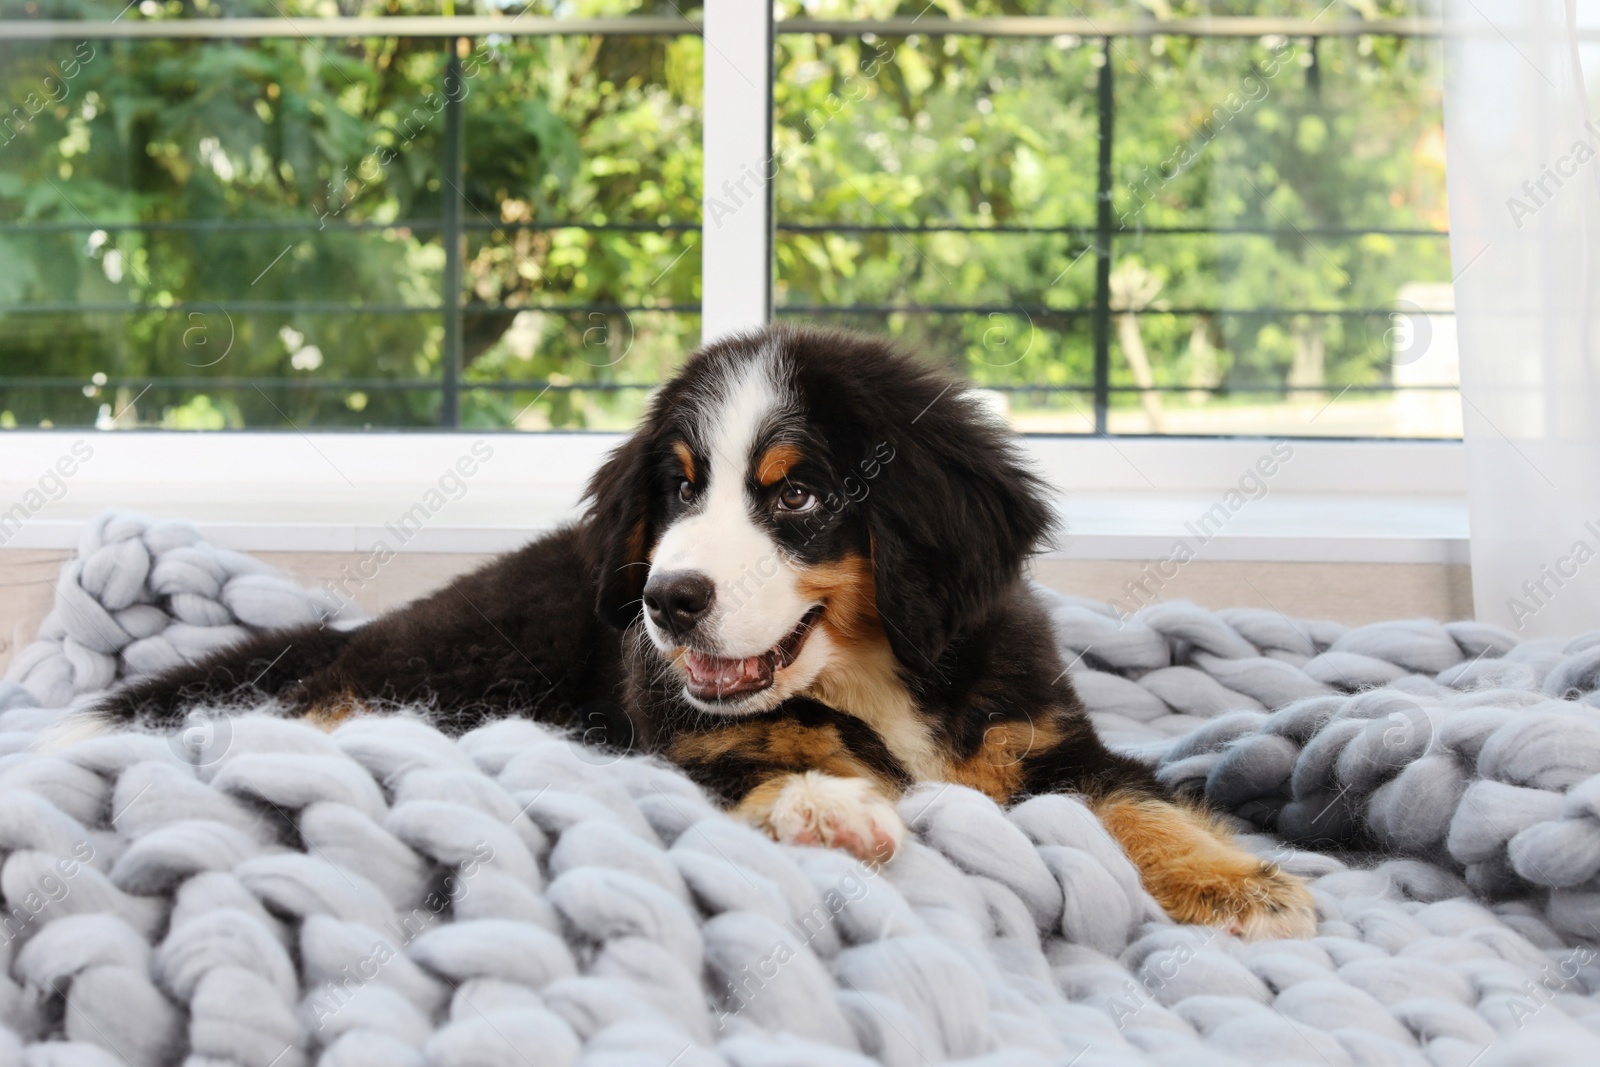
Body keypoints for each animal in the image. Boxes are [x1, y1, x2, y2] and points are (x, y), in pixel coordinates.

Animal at [90, 323, 1312, 934]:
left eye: (797, 493)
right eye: (678, 487)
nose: (666, 600)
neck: (874, 681)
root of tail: (364, 629)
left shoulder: (1040, 730)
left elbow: (1133, 799)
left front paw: (1237, 882)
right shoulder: (683, 741)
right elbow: (762, 769)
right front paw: (835, 808)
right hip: (467, 659)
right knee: (336, 706)